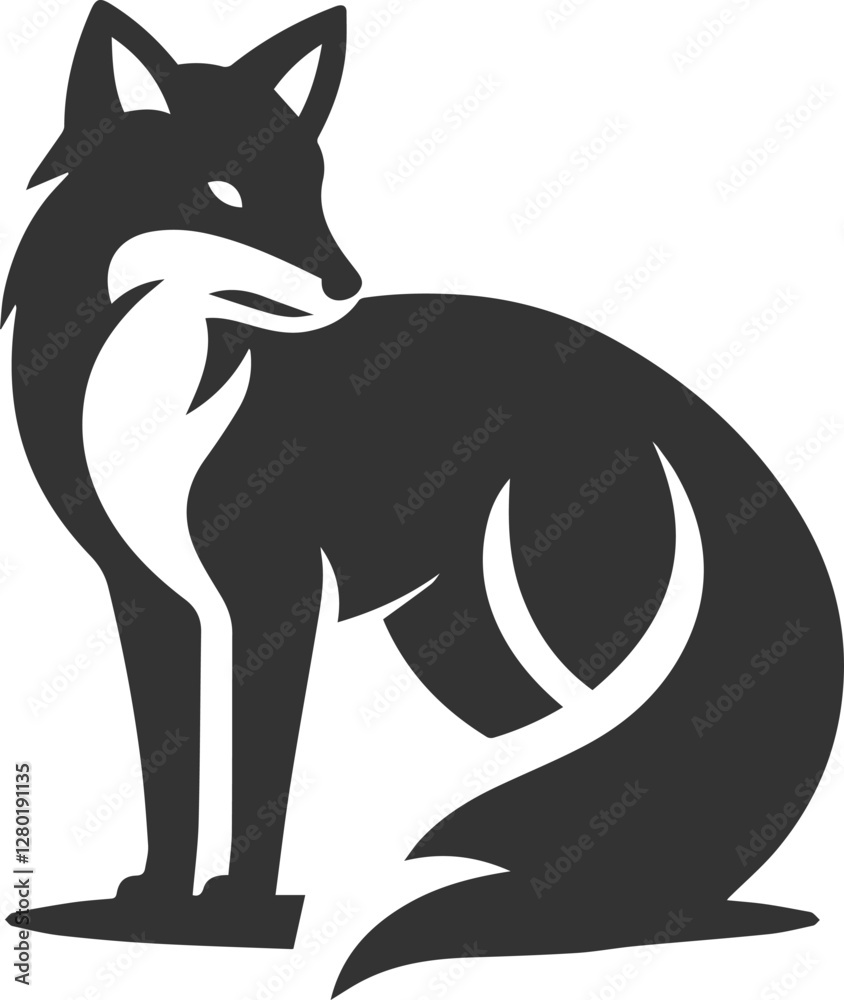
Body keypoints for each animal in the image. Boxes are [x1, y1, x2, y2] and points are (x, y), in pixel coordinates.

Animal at [3, 2, 842, 995]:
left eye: (315, 189)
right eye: (224, 191)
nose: (345, 284)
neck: (160, 389)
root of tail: (655, 386)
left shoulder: (274, 597)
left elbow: (257, 780)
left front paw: (239, 916)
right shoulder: (147, 597)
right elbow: (169, 775)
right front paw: (158, 910)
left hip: (575, 619)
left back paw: (611, 912)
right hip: (466, 648)